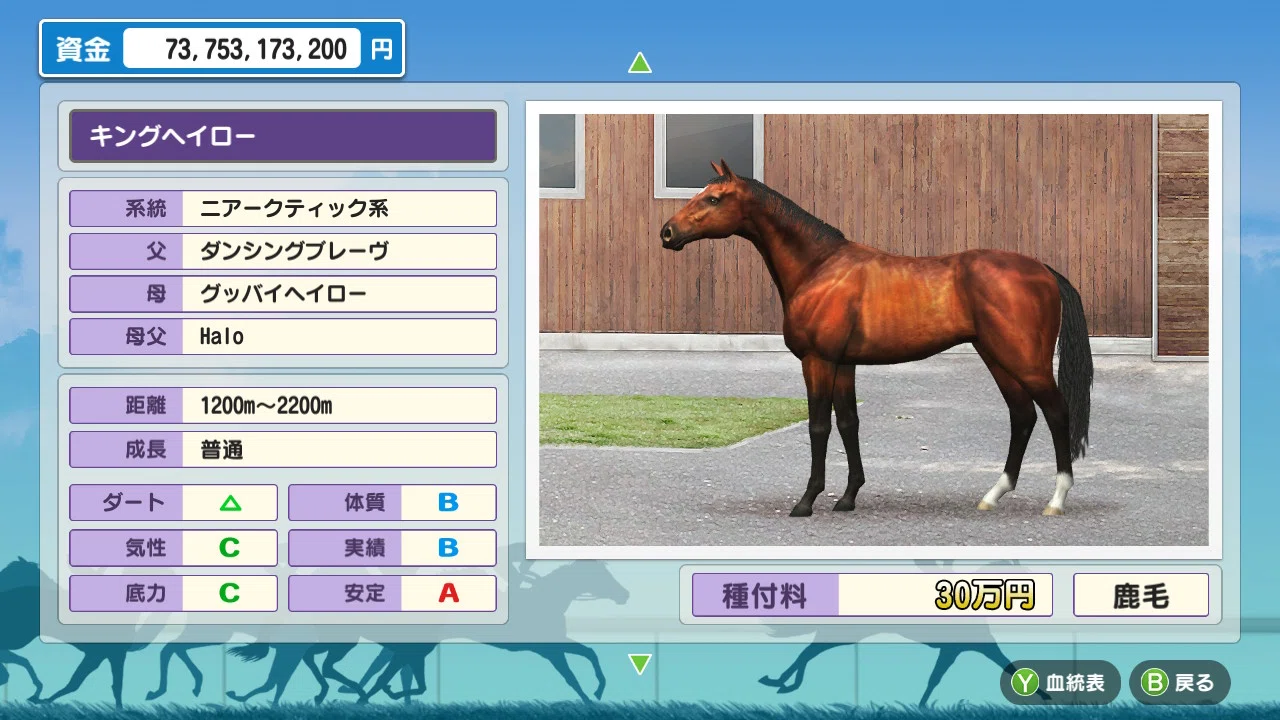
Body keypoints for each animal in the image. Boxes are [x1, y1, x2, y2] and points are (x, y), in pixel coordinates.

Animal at [659, 159, 1094, 518]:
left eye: (713, 198)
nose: (668, 232)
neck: (819, 267)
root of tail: (1043, 269)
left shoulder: (818, 361)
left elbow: (819, 426)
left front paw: (807, 501)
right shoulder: (844, 363)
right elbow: (849, 422)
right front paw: (848, 497)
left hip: (1026, 361)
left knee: (1056, 412)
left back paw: (1056, 499)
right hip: (997, 357)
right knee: (1022, 416)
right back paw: (993, 495)